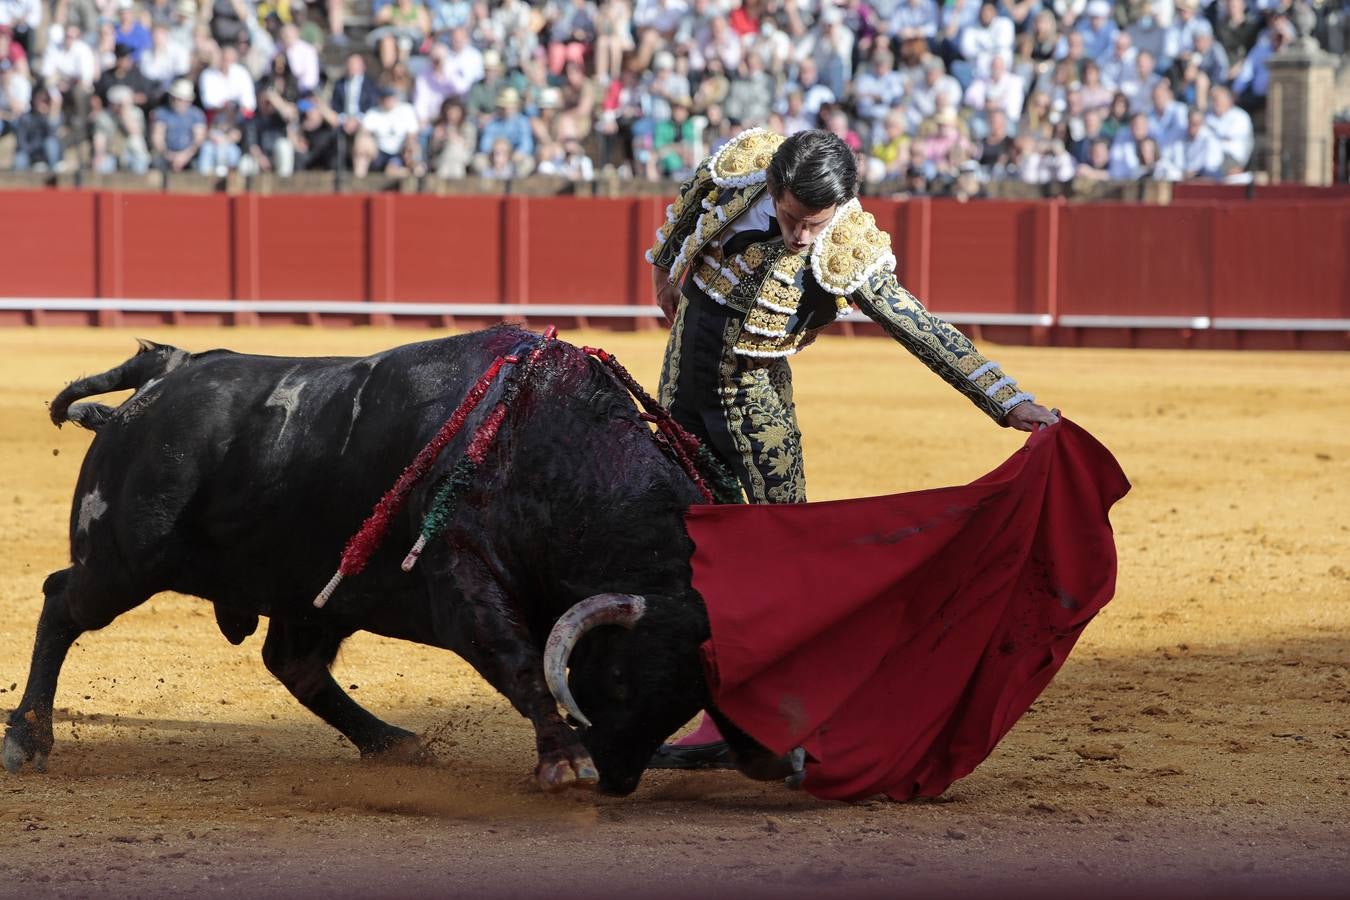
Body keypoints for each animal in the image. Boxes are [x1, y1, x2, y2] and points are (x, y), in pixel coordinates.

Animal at [2, 329, 788, 793]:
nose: (620, 777)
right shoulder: (460, 581)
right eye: (621, 679)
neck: (553, 450)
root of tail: (166, 372)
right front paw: (564, 758)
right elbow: (520, 661)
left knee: (294, 663)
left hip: (309, 589)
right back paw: (27, 740)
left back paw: (392, 741)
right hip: (121, 561)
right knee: (61, 601)